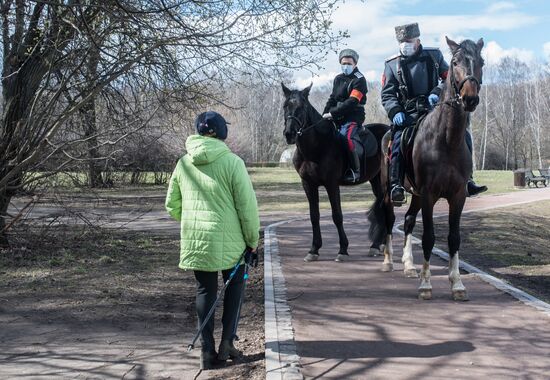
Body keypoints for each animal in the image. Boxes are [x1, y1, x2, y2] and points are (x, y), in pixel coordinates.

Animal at [282, 82, 394, 262]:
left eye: (301, 106)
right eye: (285, 106)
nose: (289, 134)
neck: (317, 146)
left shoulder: (331, 184)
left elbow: (337, 215)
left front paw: (343, 250)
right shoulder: (308, 184)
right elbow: (314, 216)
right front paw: (314, 249)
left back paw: (381, 245)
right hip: (376, 180)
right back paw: (377, 245)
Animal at [384, 37, 488, 302]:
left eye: (481, 61)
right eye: (455, 61)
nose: (470, 98)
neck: (446, 140)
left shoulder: (458, 196)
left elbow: (454, 239)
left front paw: (457, 284)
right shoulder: (430, 194)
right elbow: (429, 238)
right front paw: (426, 284)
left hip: (416, 196)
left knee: (408, 220)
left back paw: (409, 265)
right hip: (389, 192)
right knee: (389, 220)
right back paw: (388, 261)